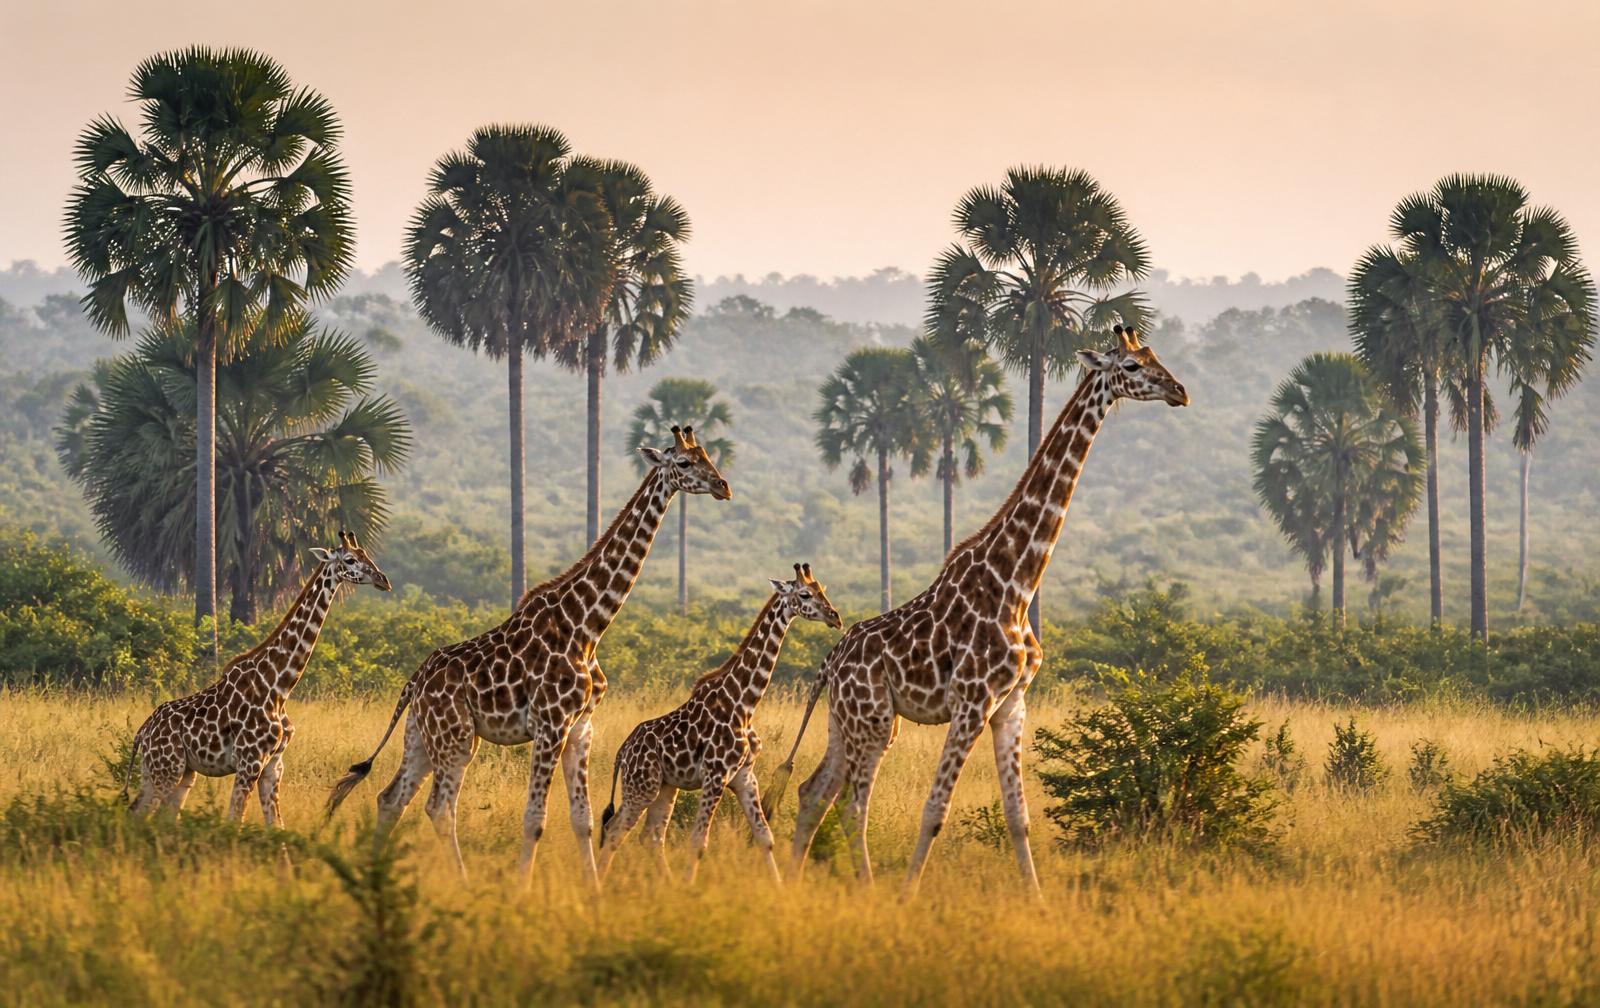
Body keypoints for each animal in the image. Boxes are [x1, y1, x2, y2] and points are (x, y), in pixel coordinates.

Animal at [123, 531, 391, 825]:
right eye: (350, 559)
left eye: (367, 555)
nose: (383, 580)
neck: (279, 686)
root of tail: (142, 732)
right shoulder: (250, 761)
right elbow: (235, 821)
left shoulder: (273, 766)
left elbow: (277, 825)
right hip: (166, 769)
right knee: (138, 815)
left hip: (178, 772)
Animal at [326, 425, 731, 883]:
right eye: (683, 462)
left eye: (708, 456)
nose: (723, 486)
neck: (588, 625)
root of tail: (414, 682)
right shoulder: (550, 724)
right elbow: (535, 818)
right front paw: (523, 887)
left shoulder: (580, 727)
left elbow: (583, 818)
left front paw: (594, 889)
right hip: (456, 738)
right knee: (439, 807)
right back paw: (463, 882)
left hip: (423, 735)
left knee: (391, 798)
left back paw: (375, 873)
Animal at [595, 563, 842, 884]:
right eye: (804, 594)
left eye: (821, 589)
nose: (835, 617)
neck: (744, 703)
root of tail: (621, 753)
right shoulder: (716, 775)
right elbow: (699, 841)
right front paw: (690, 887)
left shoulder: (744, 776)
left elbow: (765, 837)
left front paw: (779, 888)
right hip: (642, 786)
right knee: (615, 830)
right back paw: (597, 884)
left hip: (665, 787)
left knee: (650, 835)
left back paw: (666, 883)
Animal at [776, 325, 1188, 894]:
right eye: (1130, 366)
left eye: (1154, 356)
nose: (1179, 391)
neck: (1017, 584)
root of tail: (828, 665)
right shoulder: (972, 702)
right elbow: (935, 810)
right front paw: (908, 897)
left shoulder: (1011, 704)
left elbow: (1019, 816)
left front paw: (1037, 901)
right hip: (874, 721)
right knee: (852, 806)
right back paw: (870, 889)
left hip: (850, 719)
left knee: (814, 792)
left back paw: (793, 881)